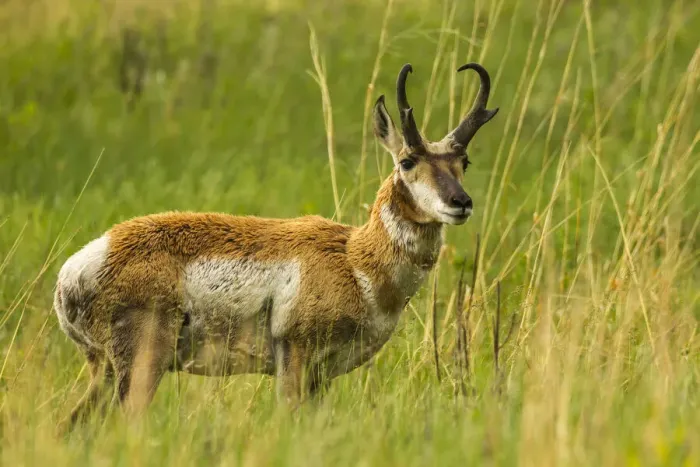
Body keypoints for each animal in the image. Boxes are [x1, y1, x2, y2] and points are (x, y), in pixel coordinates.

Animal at [54, 62, 498, 431]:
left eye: (464, 162)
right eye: (407, 161)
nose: (460, 202)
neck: (355, 260)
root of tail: (77, 268)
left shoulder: (322, 376)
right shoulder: (294, 360)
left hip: (105, 371)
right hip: (141, 365)